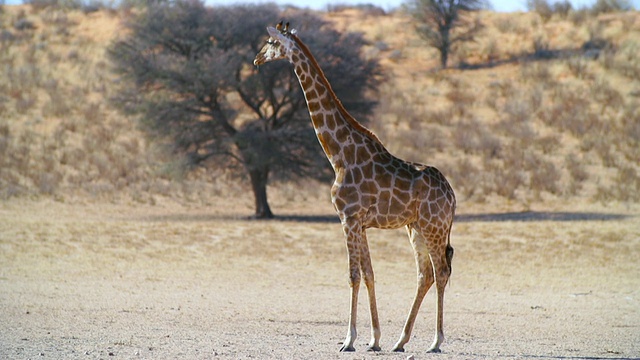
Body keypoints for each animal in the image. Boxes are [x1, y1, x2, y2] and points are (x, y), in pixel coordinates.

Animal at [252, 21, 458, 352]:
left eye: (270, 42)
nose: (257, 59)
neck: (338, 154)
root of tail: (452, 195)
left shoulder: (347, 218)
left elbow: (352, 275)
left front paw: (349, 339)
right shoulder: (360, 223)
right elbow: (370, 274)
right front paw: (374, 339)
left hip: (433, 226)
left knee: (440, 272)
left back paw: (436, 341)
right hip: (415, 227)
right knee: (424, 274)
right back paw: (400, 340)